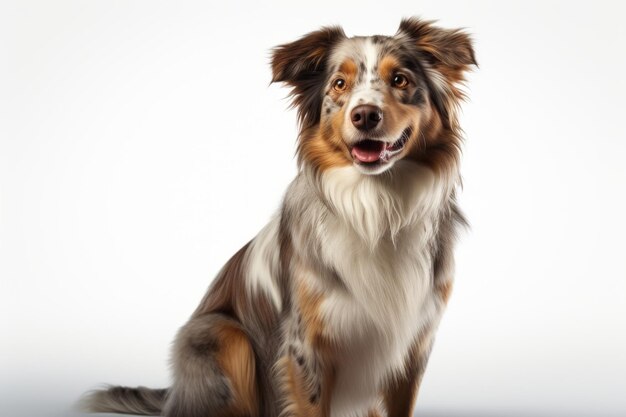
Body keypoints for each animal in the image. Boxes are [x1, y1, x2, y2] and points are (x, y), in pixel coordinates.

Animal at [81, 16, 472, 416]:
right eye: (339, 84)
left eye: (400, 80)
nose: (364, 115)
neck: (377, 207)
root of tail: (173, 395)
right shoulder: (306, 348)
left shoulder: (413, 346)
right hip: (222, 335)